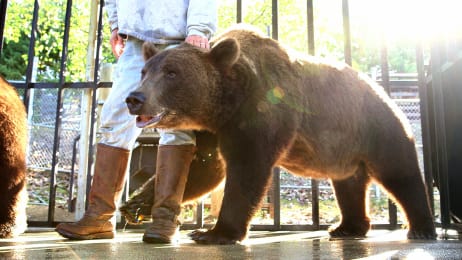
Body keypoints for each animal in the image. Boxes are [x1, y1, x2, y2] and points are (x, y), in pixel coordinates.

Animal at [125, 24, 436, 244]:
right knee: (349, 185)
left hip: (376, 127)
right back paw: (346, 227)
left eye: (171, 73)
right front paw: (137, 202)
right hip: (344, 150)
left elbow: (246, 169)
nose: (135, 98)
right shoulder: (213, 129)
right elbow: (202, 167)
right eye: (144, 71)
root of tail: (384, 92)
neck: (225, 103)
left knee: (401, 174)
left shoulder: (261, 110)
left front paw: (214, 232)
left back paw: (420, 228)